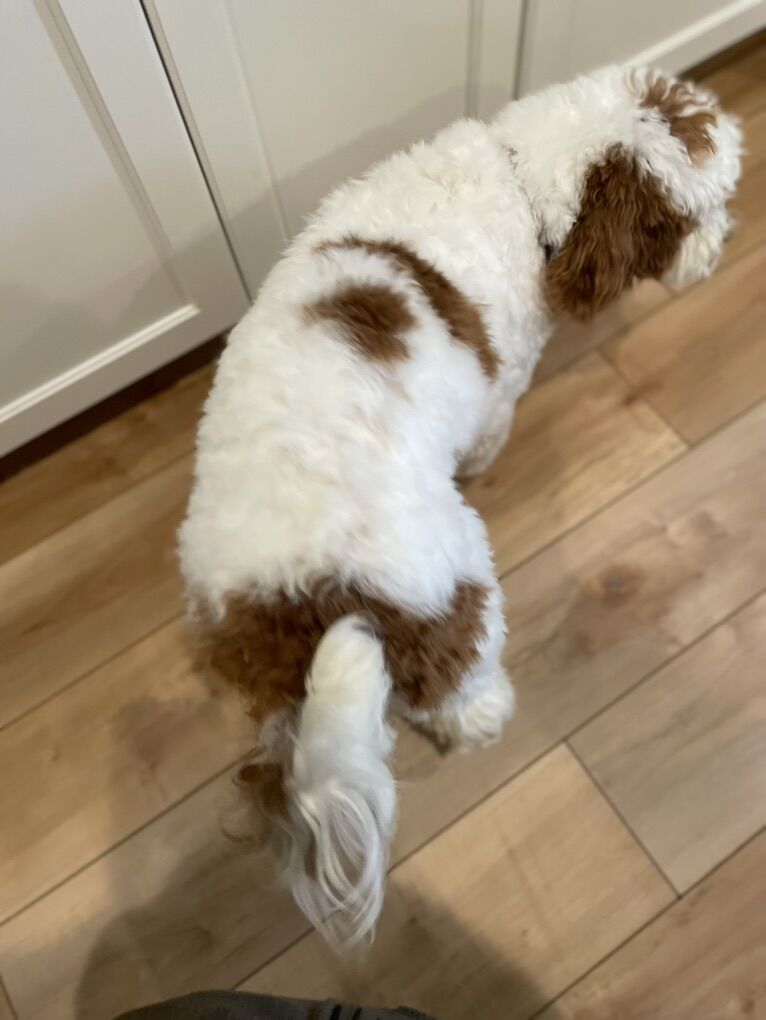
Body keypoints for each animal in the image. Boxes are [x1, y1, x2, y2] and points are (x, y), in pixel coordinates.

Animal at [179, 65, 740, 947]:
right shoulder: (503, 387)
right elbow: (493, 426)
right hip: (449, 575)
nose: (725, 244)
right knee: (455, 671)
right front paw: (482, 462)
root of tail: (295, 591)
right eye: (690, 219)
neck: (520, 177)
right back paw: (484, 712)